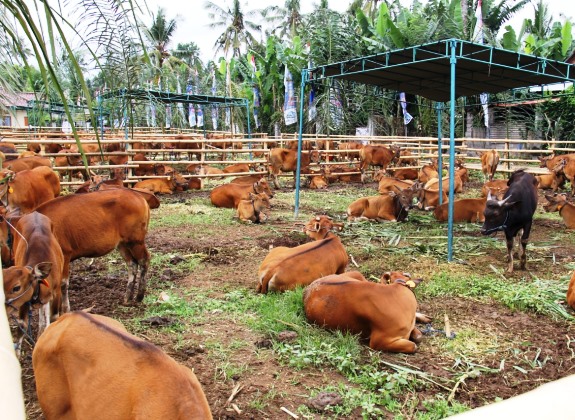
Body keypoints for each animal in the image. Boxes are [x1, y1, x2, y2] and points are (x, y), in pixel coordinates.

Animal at [2, 212, 64, 356]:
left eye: (16, 287)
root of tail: (34, 213)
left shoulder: (57, 292)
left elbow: (54, 318)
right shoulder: (25, 301)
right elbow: (22, 325)